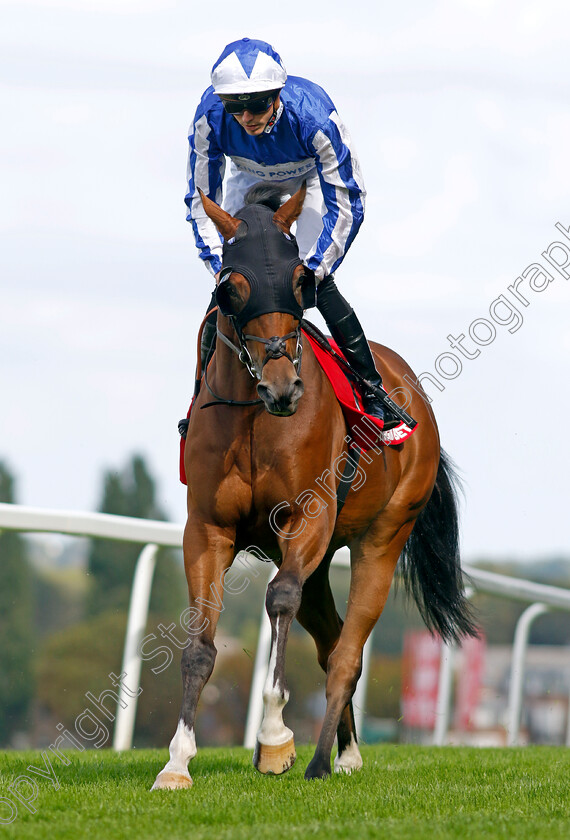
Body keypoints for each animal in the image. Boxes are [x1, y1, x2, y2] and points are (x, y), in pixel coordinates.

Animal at [151, 184, 474, 788]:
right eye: (231, 288)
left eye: (301, 283)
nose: (283, 389)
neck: (254, 418)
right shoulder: (207, 529)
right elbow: (199, 645)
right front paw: (177, 762)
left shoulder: (308, 518)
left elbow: (278, 598)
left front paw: (275, 735)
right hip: (321, 563)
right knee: (330, 641)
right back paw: (347, 751)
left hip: (383, 537)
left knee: (347, 651)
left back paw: (324, 760)